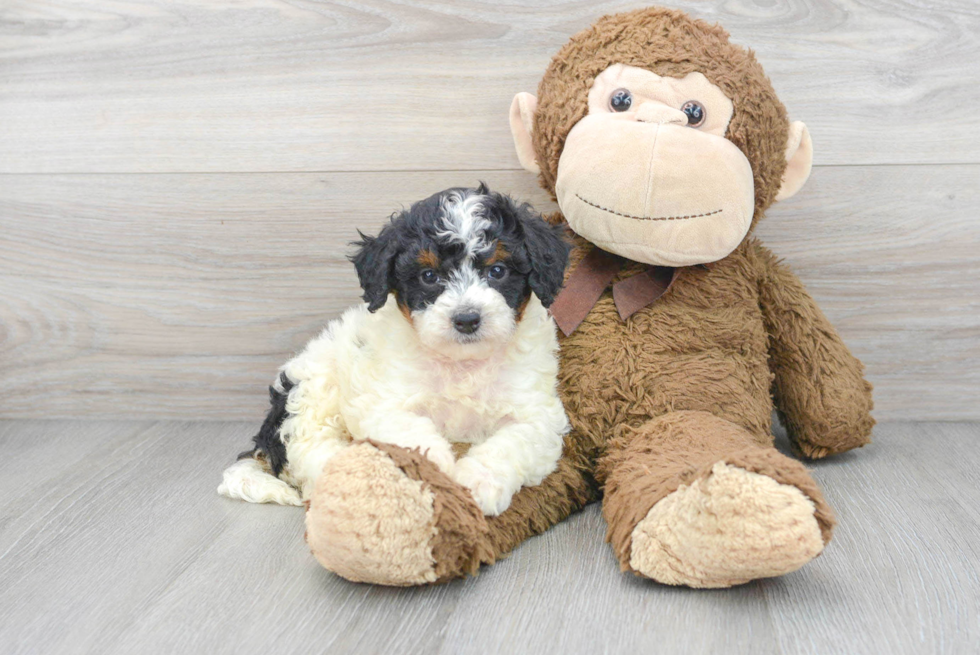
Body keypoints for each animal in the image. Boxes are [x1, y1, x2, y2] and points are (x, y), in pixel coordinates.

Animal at [218, 184, 572, 516]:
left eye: (497, 271)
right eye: (429, 276)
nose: (467, 319)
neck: (461, 364)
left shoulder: (536, 415)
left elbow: (510, 443)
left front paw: (477, 482)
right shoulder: (384, 404)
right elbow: (412, 430)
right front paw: (435, 467)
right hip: (311, 390)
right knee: (309, 447)